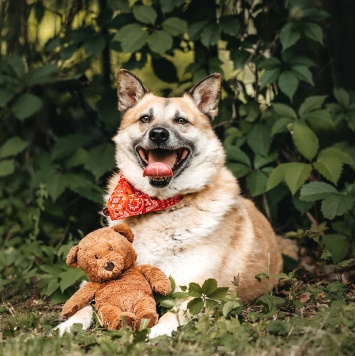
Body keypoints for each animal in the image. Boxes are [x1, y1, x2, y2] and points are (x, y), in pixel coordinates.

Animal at [56, 69, 284, 336]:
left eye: (181, 120)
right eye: (145, 118)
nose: (158, 134)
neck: (158, 206)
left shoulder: (202, 292)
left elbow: (172, 315)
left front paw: (154, 333)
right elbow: (82, 304)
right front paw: (66, 326)